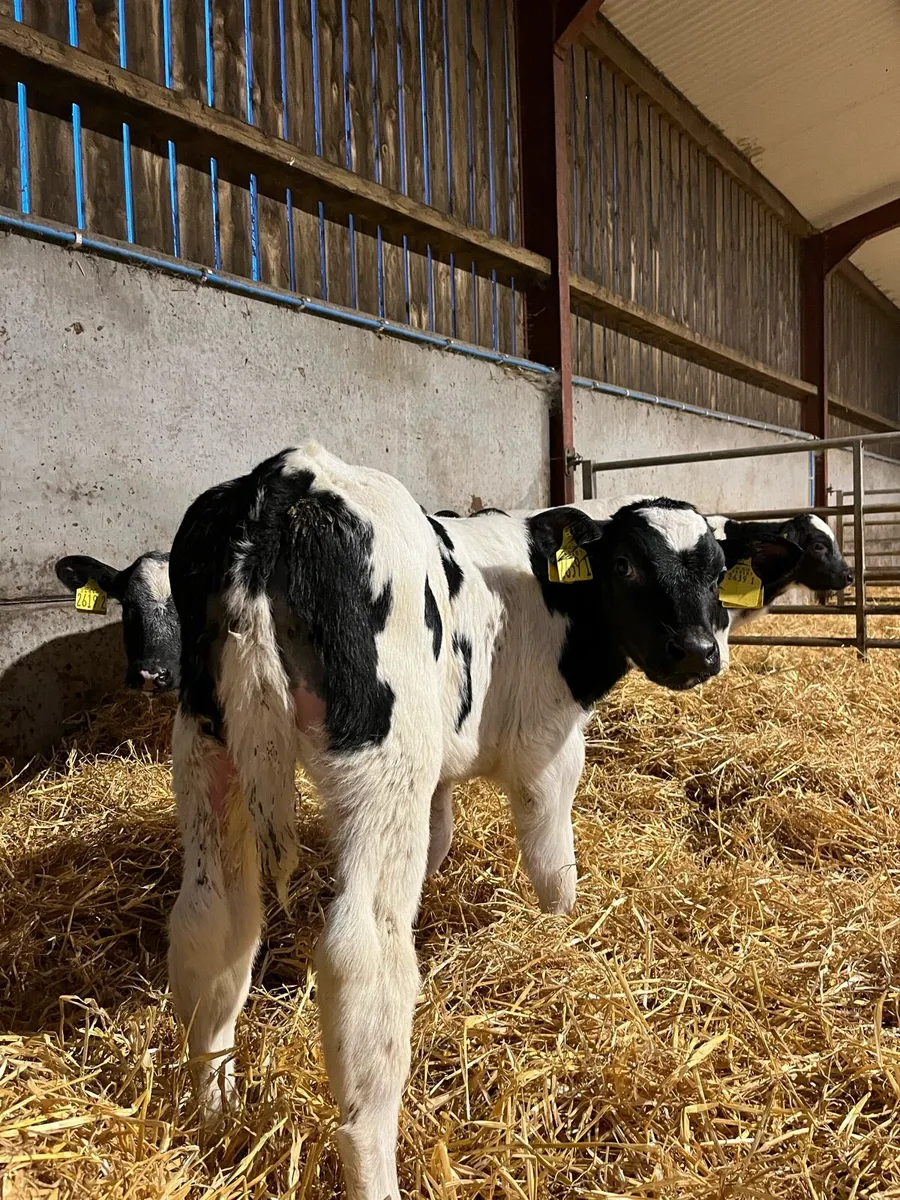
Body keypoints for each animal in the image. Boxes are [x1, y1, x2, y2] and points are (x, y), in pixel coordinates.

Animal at [163, 442, 802, 1200]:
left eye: (715, 571)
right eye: (625, 566)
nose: (700, 652)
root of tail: (290, 474)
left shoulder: (440, 772)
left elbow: (441, 838)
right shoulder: (547, 749)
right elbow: (554, 869)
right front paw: (560, 940)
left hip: (208, 748)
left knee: (210, 920)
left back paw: (212, 1109)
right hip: (385, 765)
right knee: (361, 957)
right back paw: (371, 1164)